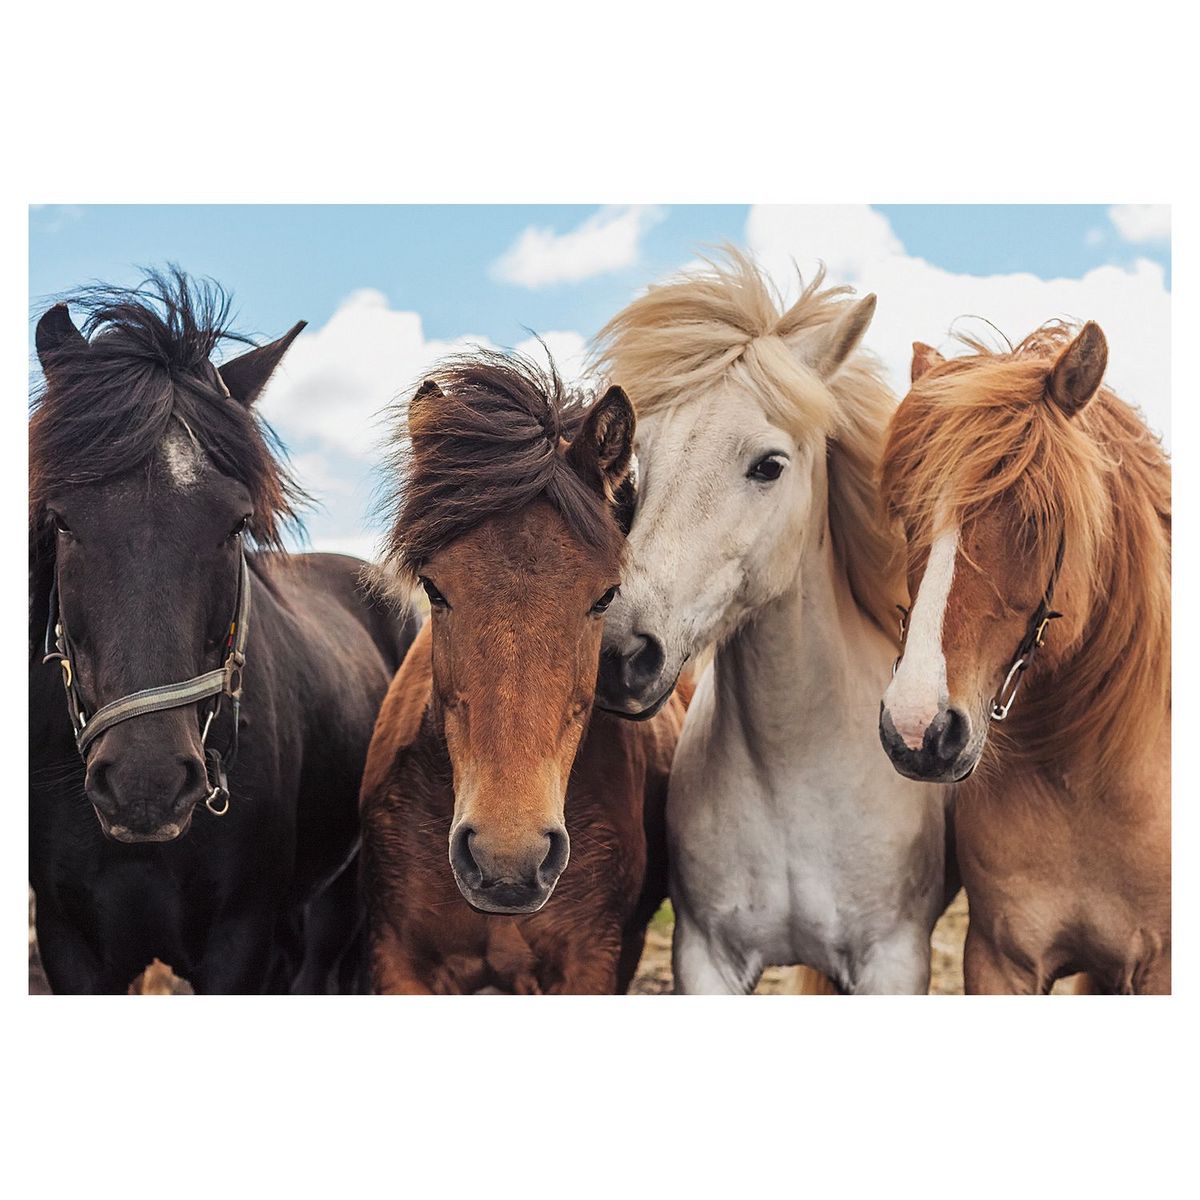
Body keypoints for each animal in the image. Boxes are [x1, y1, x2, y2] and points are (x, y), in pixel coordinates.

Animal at [590, 250, 950, 994]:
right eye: (639, 464)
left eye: (769, 465)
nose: (620, 656)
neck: (794, 777)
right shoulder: (704, 957)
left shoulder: (893, 961)